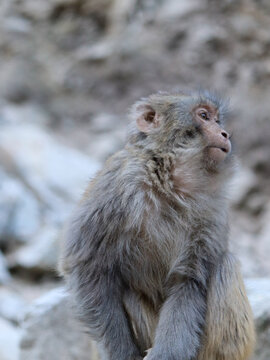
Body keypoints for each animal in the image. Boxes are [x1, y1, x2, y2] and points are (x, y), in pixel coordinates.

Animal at [59, 90, 255, 360]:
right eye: (204, 116)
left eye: (217, 120)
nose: (224, 133)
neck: (169, 183)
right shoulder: (114, 185)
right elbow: (86, 264)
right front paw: (122, 353)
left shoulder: (212, 210)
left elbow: (188, 280)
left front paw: (166, 353)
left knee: (225, 265)